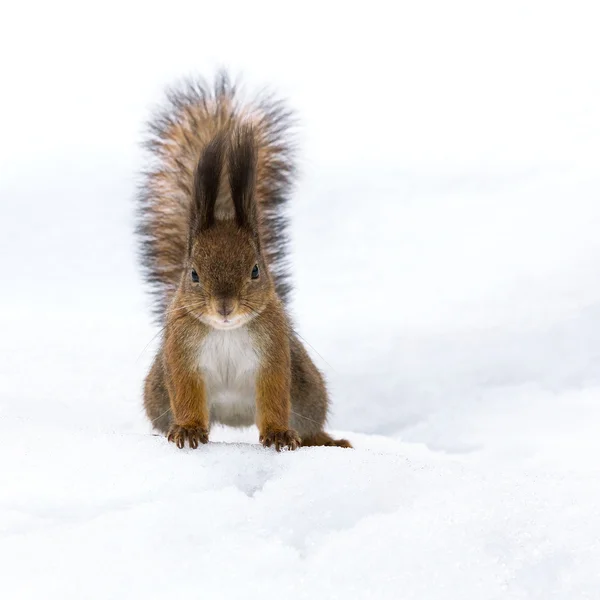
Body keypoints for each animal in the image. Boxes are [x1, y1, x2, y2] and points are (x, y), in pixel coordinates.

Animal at [136, 72, 352, 450]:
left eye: (255, 270)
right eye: (193, 274)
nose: (224, 306)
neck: (227, 331)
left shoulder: (274, 353)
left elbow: (274, 397)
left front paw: (278, 433)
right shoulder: (181, 355)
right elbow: (188, 395)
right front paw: (189, 428)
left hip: (309, 389)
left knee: (309, 425)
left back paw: (326, 440)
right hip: (158, 392)